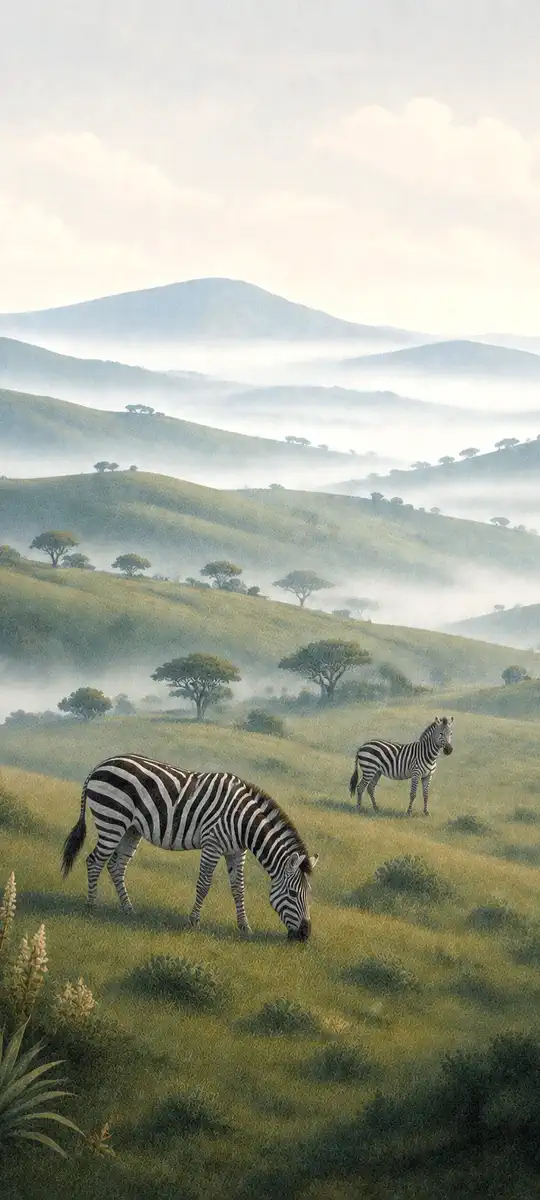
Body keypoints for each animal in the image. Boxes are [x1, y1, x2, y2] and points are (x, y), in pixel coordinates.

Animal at [61, 755, 318, 941]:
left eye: (309, 894)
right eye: (293, 894)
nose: (305, 935)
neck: (243, 821)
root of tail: (101, 764)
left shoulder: (236, 851)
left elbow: (239, 889)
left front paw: (244, 927)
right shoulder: (213, 843)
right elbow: (204, 884)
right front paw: (193, 921)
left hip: (131, 829)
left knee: (116, 866)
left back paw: (128, 909)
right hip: (112, 819)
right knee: (95, 861)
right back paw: (92, 906)